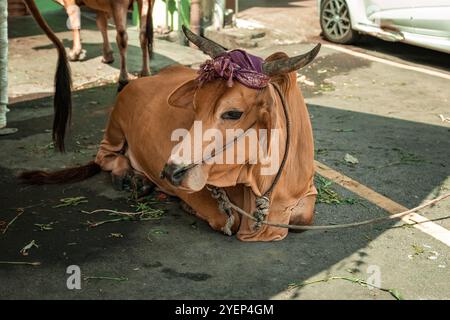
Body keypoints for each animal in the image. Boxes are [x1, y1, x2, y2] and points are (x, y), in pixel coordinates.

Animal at [20, 28, 320, 242]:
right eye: (196, 106)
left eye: (233, 113)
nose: (170, 172)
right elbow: (226, 218)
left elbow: (303, 220)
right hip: (115, 125)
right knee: (105, 155)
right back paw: (129, 176)